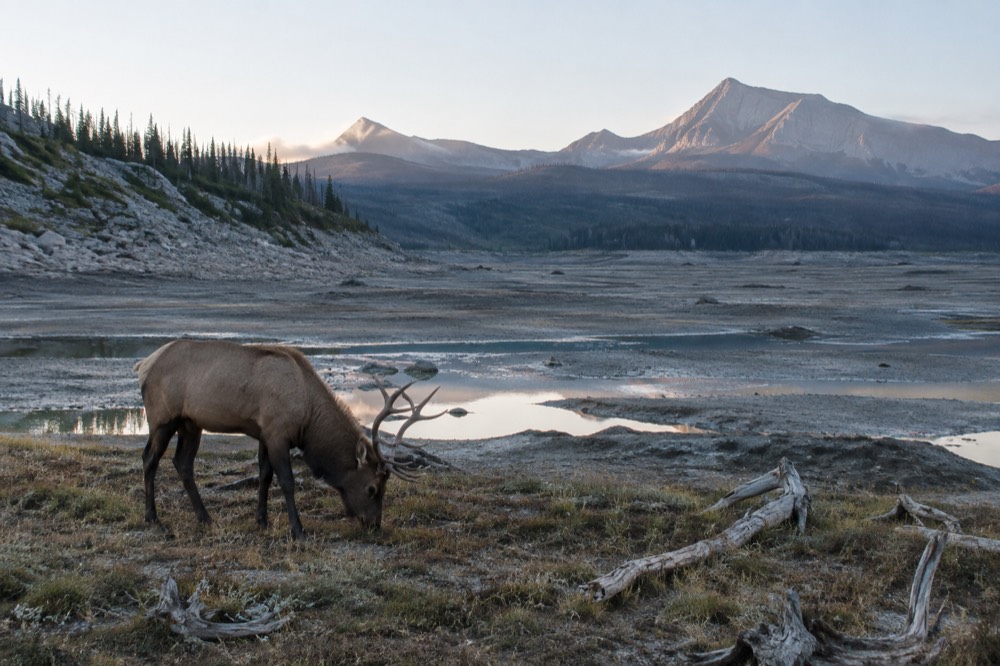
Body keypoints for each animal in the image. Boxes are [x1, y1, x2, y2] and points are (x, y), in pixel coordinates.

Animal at [134, 338, 443, 539]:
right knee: (150, 458)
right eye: (372, 488)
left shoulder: (264, 433)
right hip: (162, 417)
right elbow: (287, 481)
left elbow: (264, 476)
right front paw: (298, 529)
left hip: (191, 423)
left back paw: (205, 517)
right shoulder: (278, 432)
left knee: (182, 463)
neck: (308, 416)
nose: (374, 525)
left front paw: (262, 521)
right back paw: (153, 518)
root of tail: (143, 365)